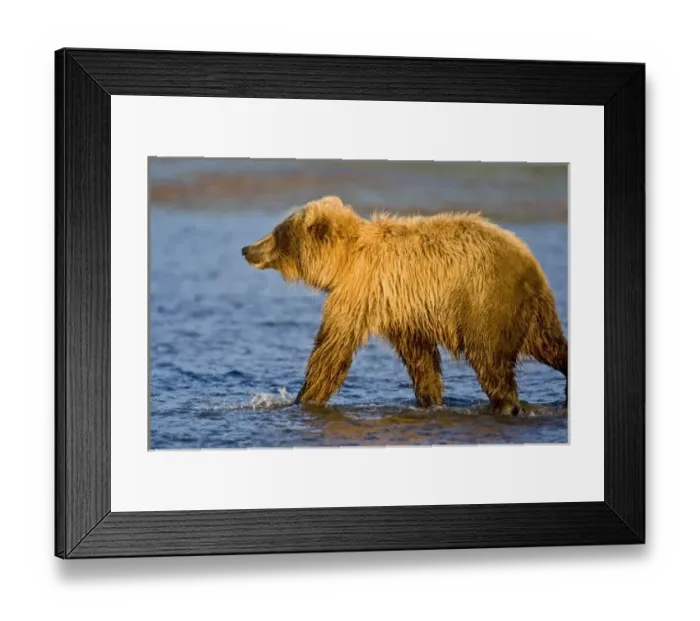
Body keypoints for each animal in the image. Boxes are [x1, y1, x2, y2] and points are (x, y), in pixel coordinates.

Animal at [242, 196, 568, 416]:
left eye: (276, 234)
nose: (247, 249)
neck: (343, 262)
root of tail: (528, 262)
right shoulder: (402, 308)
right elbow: (420, 358)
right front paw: (430, 400)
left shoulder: (359, 292)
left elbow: (332, 349)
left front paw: (300, 399)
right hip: (532, 311)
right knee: (551, 344)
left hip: (487, 301)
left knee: (490, 358)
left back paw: (506, 404)